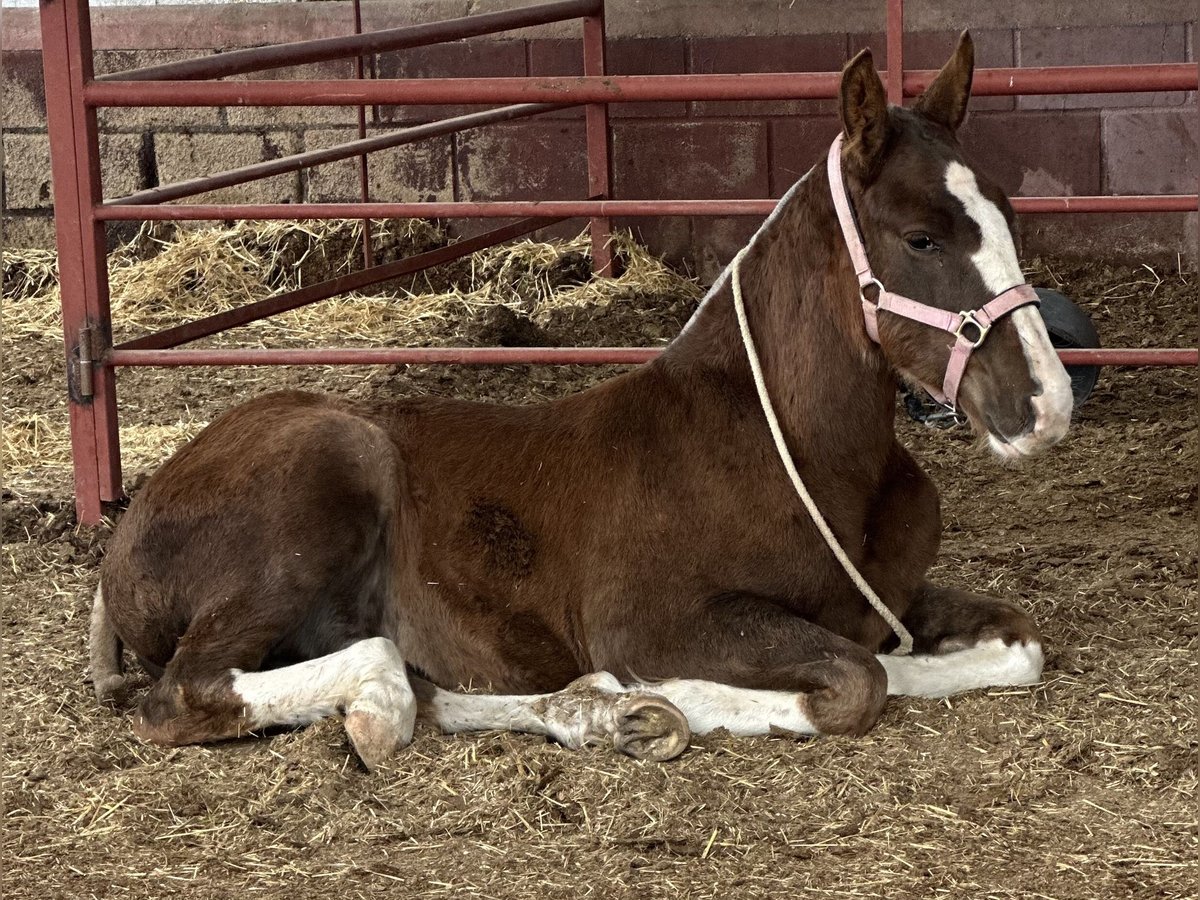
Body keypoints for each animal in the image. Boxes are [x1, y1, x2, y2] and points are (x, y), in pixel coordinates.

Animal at [88, 35, 1075, 768]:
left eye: (1008, 213)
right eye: (921, 238)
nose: (1047, 405)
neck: (789, 452)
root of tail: (127, 531)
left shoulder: (892, 603)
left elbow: (1007, 646)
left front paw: (628, 706)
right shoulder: (655, 619)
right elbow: (855, 683)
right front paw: (658, 694)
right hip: (325, 476)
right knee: (197, 690)